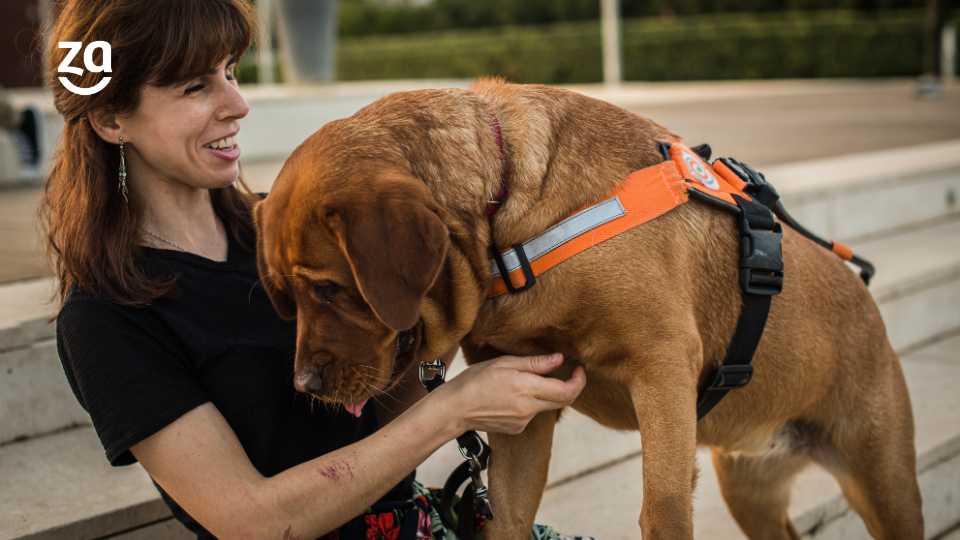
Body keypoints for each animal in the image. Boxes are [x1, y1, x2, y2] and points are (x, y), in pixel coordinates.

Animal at [253, 80, 924, 540]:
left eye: (330, 290)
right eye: (283, 295)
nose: (303, 383)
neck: (508, 223)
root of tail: (869, 304)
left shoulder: (663, 369)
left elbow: (664, 511)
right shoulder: (527, 405)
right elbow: (506, 517)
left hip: (885, 482)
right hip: (749, 486)